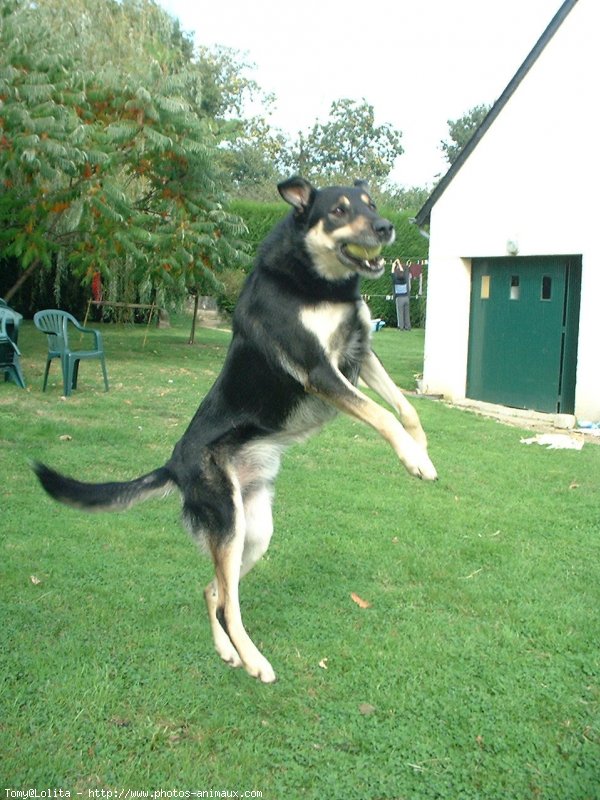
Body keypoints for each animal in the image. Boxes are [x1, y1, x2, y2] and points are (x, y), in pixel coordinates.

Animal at [34, 178, 436, 684]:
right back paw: (253, 660)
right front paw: (414, 459)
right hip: (228, 522)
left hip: (253, 532)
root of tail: (173, 463)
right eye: (339, 211)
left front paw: (421, 452)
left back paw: (228, 652)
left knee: (216, 592)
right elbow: (382, 415)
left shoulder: (360, 356)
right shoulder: (321, 372)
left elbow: (406, 408)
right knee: (229, 604)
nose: (386, 228)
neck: (314, 282)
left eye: (372, 204)